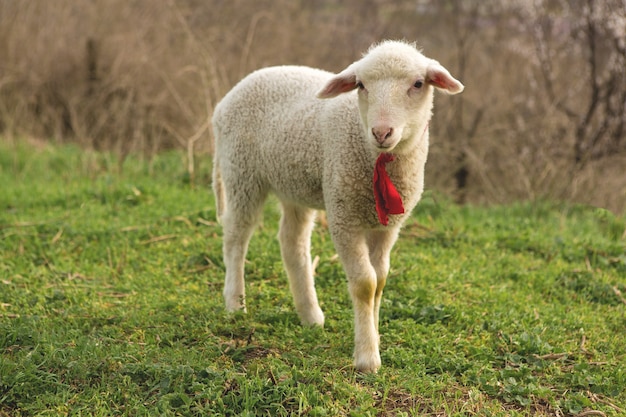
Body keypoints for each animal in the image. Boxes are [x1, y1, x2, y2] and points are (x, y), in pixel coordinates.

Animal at [212, 39, 460, 370]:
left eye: (418, 84)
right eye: (361, 85)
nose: (381, 132)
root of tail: (225, 101)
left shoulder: (387, 227)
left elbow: (380, 281)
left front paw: (373, 337)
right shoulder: (344, 216)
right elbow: (365, 284)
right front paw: (367, 357)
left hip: (294, 184)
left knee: (292, 243)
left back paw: (310, 315)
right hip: (241, 172)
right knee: (236, 236)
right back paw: (235, 304)